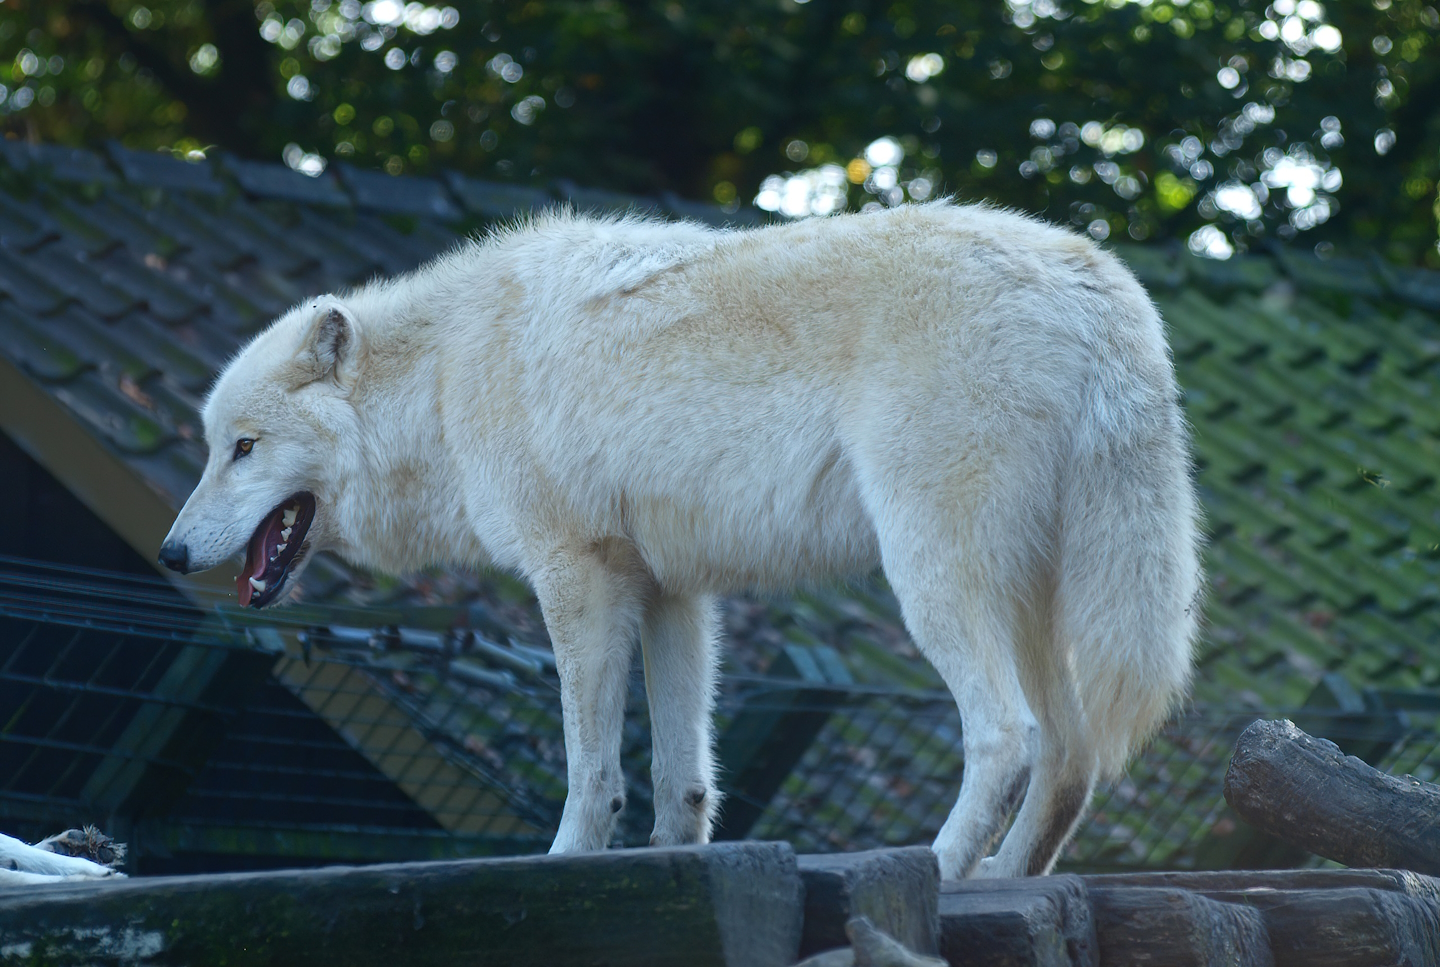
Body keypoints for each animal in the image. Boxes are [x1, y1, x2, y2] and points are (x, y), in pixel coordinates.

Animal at [159, 201, 1200, 879]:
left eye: (242, 448)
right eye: (213, 447)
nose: (170, 555)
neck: (445, 379)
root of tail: (1099, 286)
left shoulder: (576, 572)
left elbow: (592, 766)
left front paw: (568, 859)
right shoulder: (675, 592)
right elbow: (681, 773)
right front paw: (673, 860)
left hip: (936, 580)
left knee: (1008, 735)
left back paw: (938, 868)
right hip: (1032, 601)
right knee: (1072, 757)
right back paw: (1002, 880)